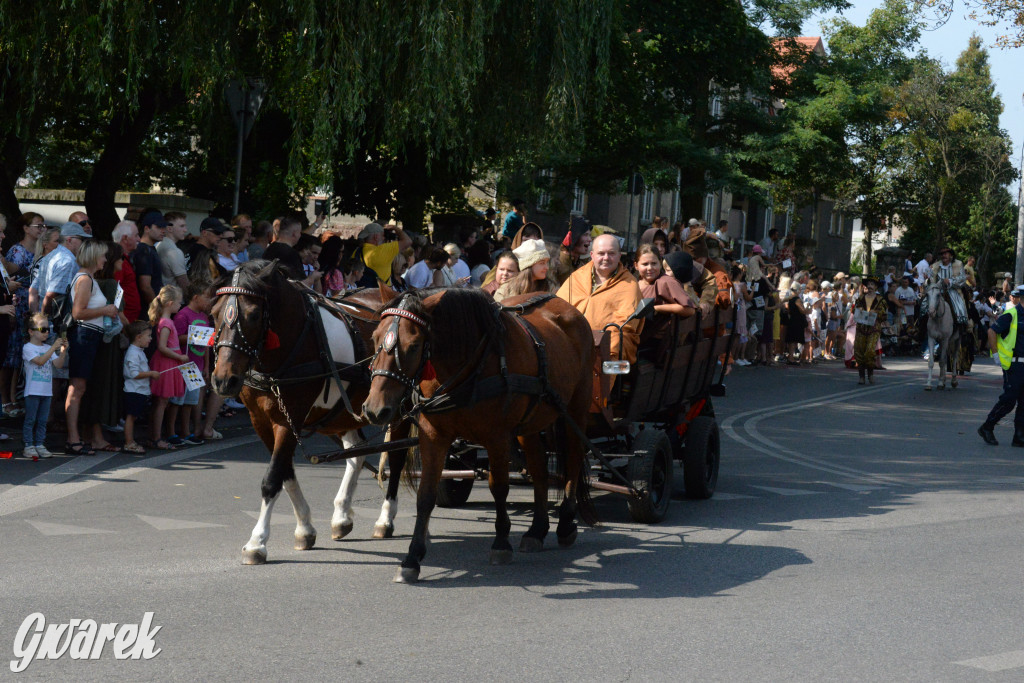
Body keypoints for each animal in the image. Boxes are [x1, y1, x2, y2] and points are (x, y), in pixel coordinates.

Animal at [208, 259, 403, 565]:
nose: (223, 380)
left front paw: (257, 542)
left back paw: (385, 519)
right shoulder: (261, 420)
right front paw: (305, 529)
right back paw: (341, 515)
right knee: (356, 453)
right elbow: (286, 474)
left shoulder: (291, 420)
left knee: (396, 456)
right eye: (214, 314)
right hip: (344, 411)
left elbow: (272, 479)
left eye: (253, 315)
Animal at [362, 286, 598, 581]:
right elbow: (425, 495)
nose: (375, 409)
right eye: (374, 338)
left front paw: (501, 543)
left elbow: (499, 487)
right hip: (530, 423)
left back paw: (565, 522)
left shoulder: (497, 437)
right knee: (539, 469)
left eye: (414, 345)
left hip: (575, 409)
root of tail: (561, 302)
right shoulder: (434, 435)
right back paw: (537, 529)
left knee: (574, 461)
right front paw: (412, 558)